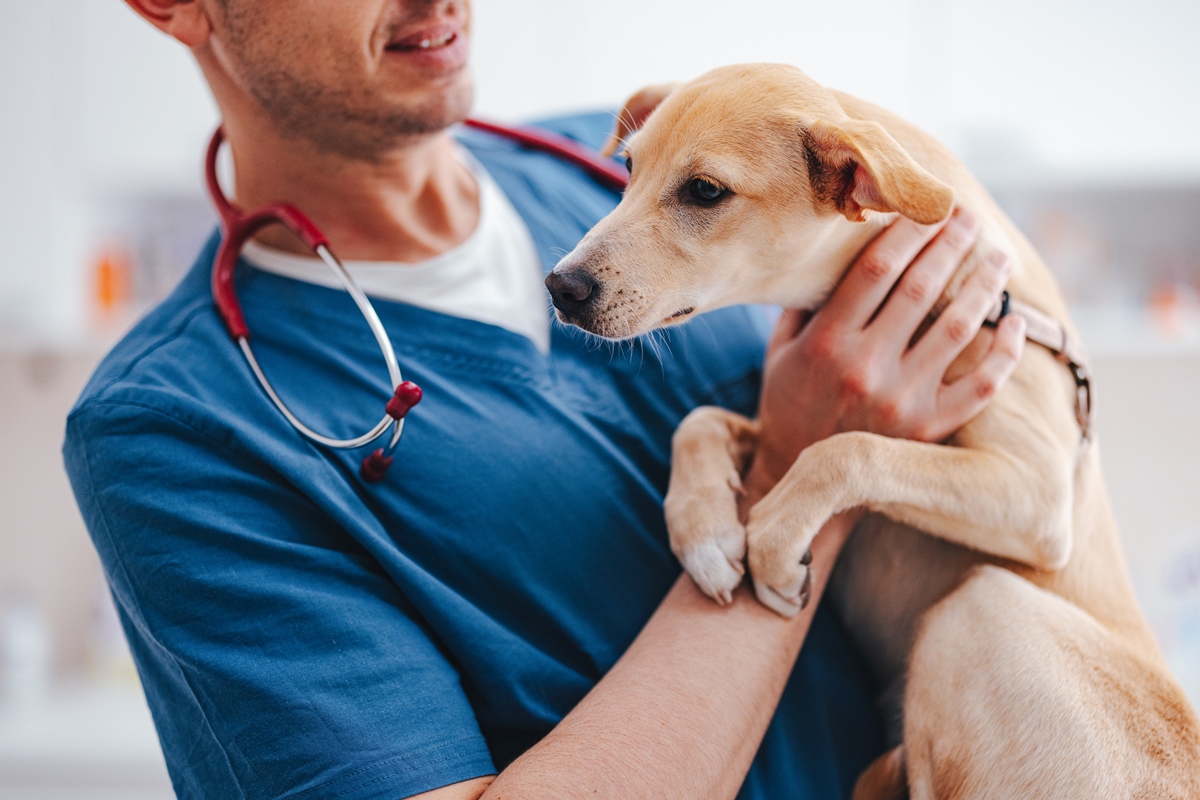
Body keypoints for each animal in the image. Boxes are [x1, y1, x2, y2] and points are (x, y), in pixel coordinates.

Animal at [547, 65, 1200, 796]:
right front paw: (704, 530)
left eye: (706, 191)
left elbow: (846, 449)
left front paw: (773, 543)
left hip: (986, 604)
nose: (560, 287)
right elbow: (701, 421)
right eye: (629, 168)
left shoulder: (1038, 496)